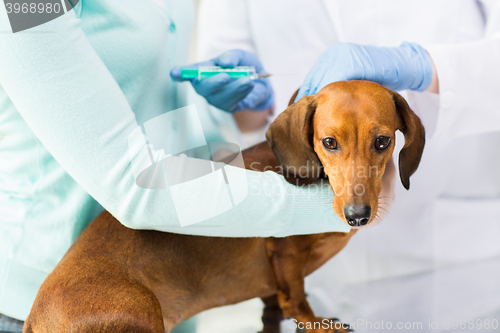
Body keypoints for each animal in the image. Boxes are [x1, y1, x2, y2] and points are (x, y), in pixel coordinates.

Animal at [22, 81, 422, 332]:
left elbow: (276, 306)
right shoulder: (285, 252)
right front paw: (319, 324)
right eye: (329, 142)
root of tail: (35, 317)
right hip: (139, 311)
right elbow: (296, 301)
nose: (357, 216)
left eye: (383, 141)